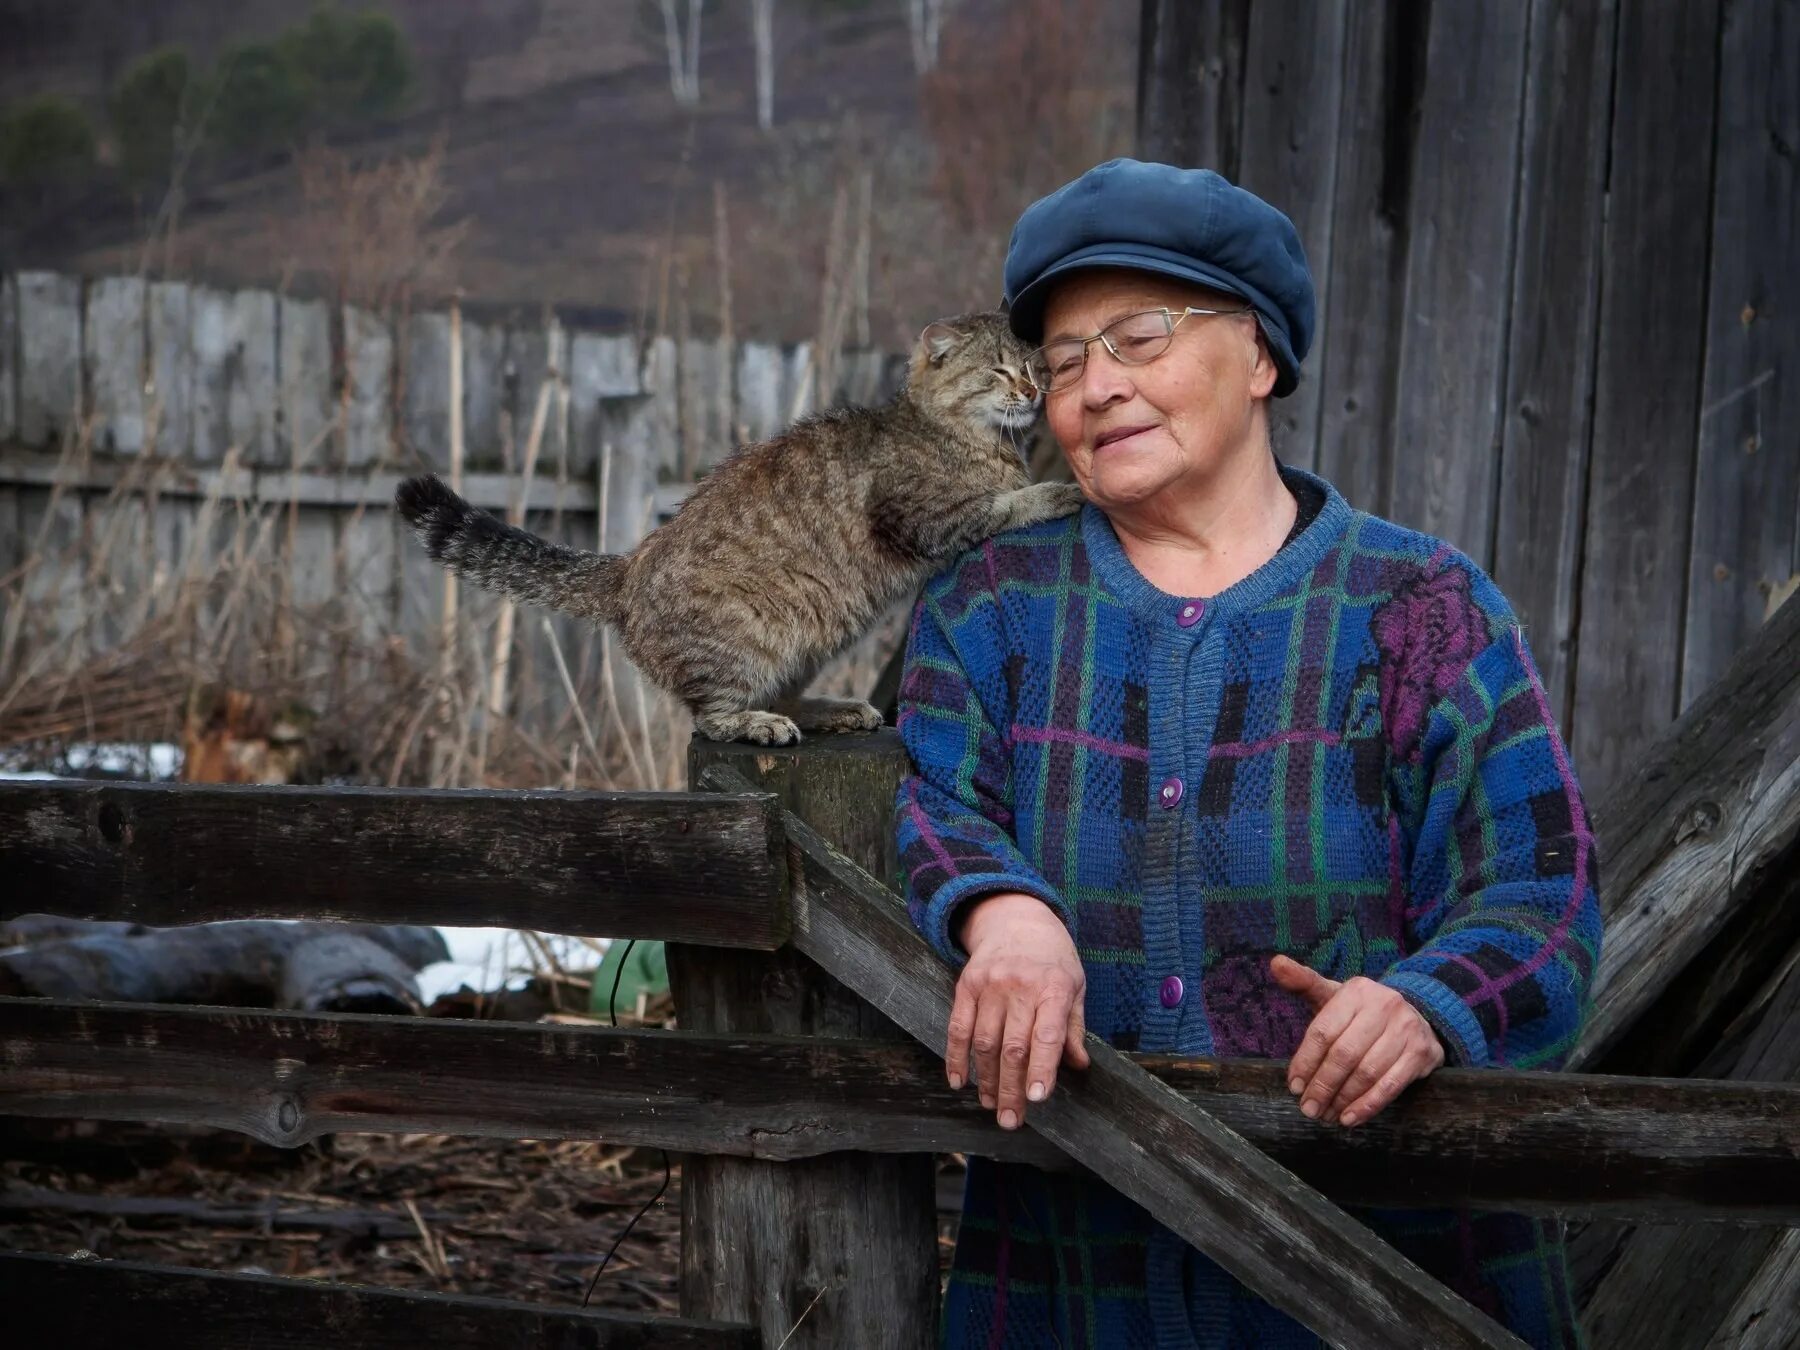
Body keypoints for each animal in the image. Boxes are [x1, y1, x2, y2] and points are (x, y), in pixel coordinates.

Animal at [397, 311, 1080, 745]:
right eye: (999, 371)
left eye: (1036, 366)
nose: (1031, 391)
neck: (959, 434)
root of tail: (630, 566)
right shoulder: (926, 518)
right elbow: (1003, 503)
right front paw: (1055, 491)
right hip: (746, 639)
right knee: (712, 717)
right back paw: (759, 725)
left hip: (811, 643)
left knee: (778, 693)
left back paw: (830, 710)